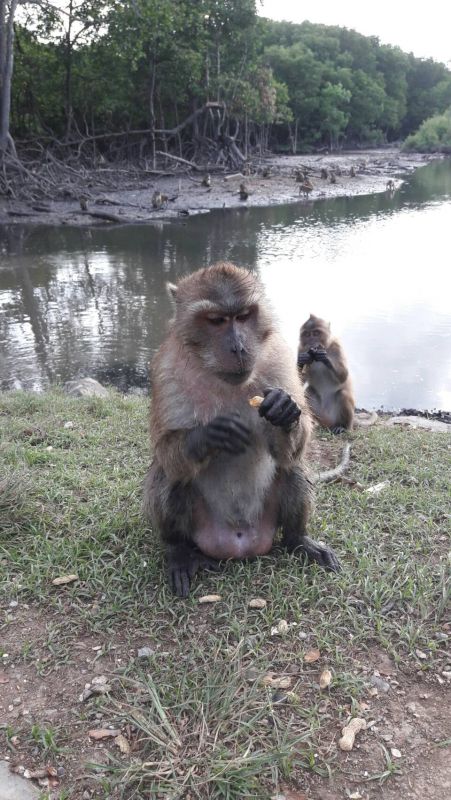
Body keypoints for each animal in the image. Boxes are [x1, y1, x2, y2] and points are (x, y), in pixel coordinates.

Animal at [144, 262, 340, 592]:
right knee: (170, 476)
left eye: (244, 316)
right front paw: (208, 435)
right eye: (216, 320)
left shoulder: (279, 357)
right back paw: (179, 551)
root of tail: (239, 543)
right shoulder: (166, 368)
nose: (238, 347)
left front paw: (284, 410)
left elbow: (292, 450)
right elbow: (164, 450)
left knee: (292, 468)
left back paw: (298, 539)